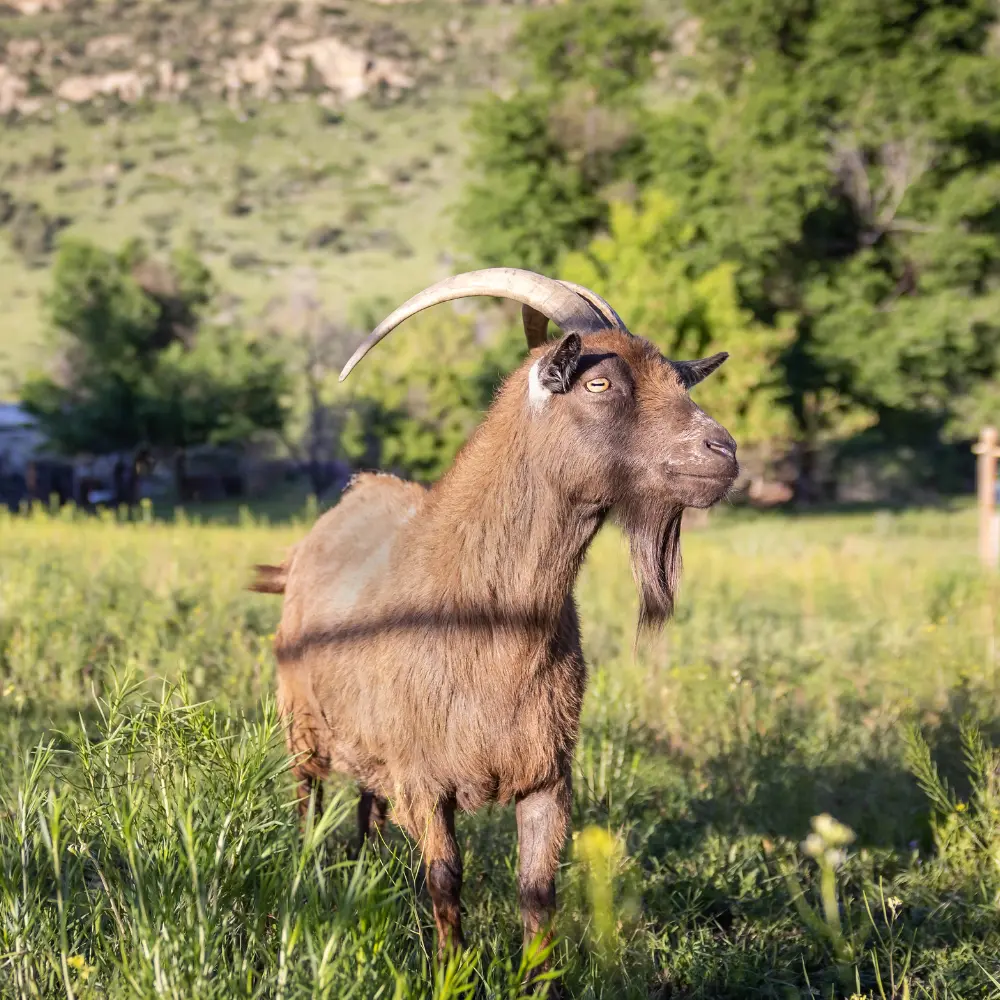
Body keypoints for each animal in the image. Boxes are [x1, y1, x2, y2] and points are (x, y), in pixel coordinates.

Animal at [250, 268, 738, 968]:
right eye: (599, 383)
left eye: (677, 378)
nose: (723, 452)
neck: (490, 620)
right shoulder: (425, 782)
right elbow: (445, 879)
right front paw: (451, 970)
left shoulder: (548, 778)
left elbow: (537, 892)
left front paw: (539, 975)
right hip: (301, 728)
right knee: (307, 805)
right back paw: (309, 876)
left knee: (366, 809)